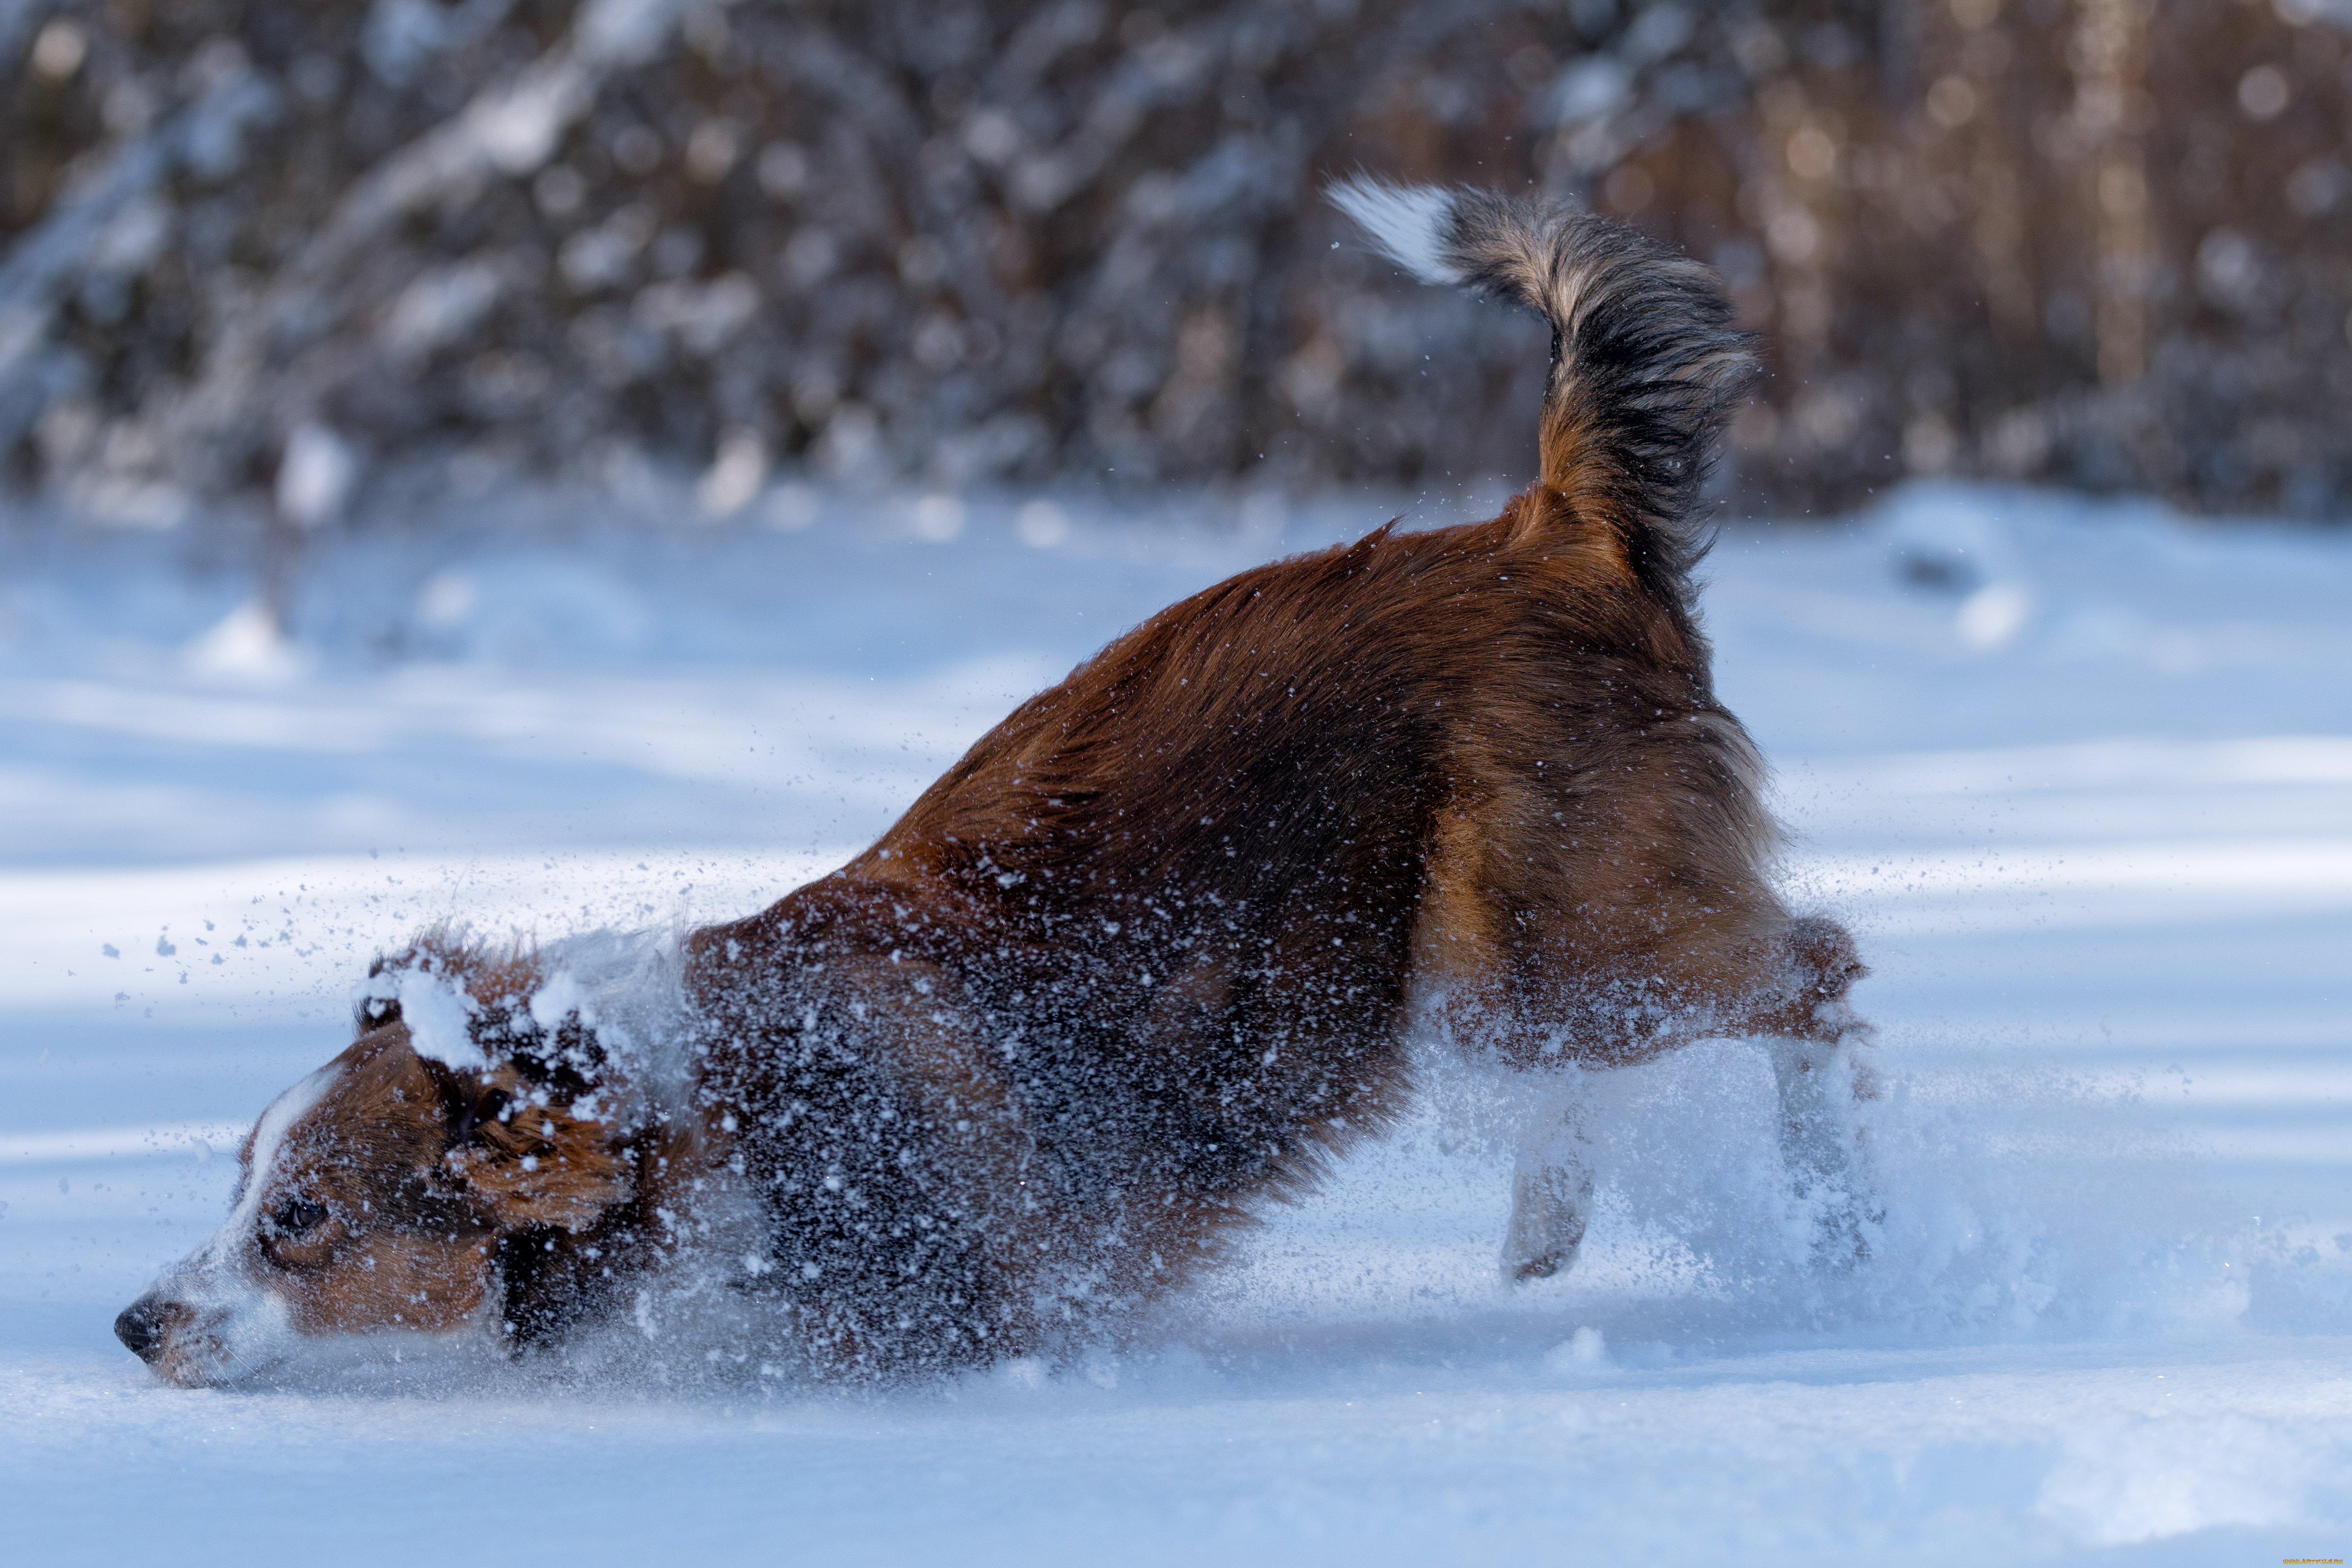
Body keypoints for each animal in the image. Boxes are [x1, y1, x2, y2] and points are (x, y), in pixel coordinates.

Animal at [114, 181, 1872, 1382]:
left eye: (300, 1218)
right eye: (237, 1186)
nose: (130, 1323)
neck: (692, 1129)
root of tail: (1544, 526)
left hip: (1547, 952)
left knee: (1824, 975)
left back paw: (1848, 1231)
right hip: (1499, 974)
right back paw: (1541, 1240)